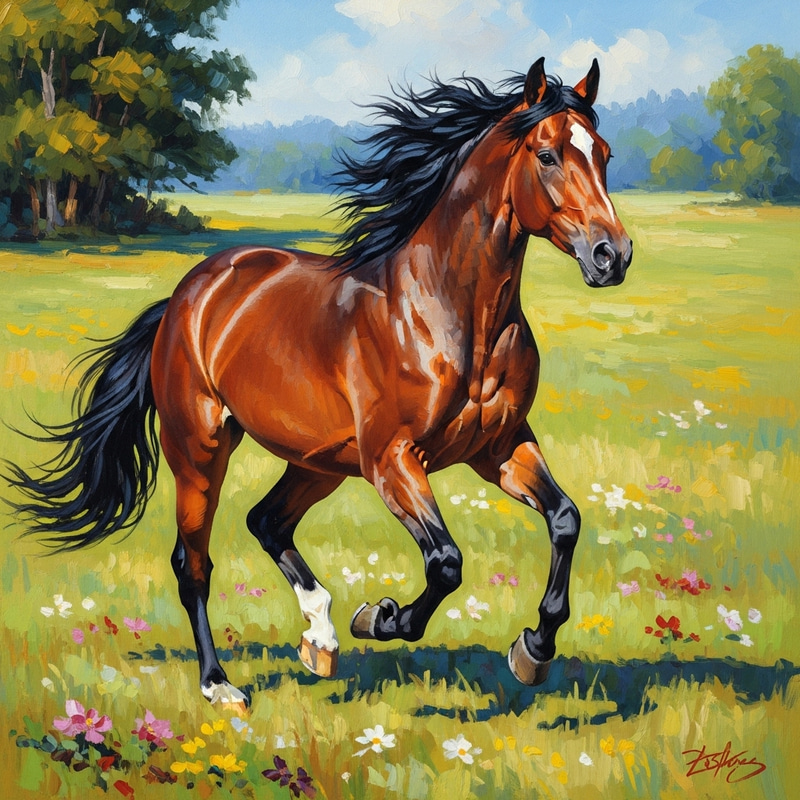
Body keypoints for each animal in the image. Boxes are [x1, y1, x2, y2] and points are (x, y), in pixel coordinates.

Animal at [9, 57, 632, 708]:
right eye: (547, 155)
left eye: (604, 153)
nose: (612, 256)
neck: (447, 312)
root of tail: (187, 297)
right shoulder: (392, 459)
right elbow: (446, 562)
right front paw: (381, 617)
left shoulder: (500, 447)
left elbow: (565, 520)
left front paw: (532, 650)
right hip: (201, 450)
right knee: (193, 563)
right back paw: (221, 684)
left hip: (320, 461)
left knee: (266, 521)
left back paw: (320, 637)